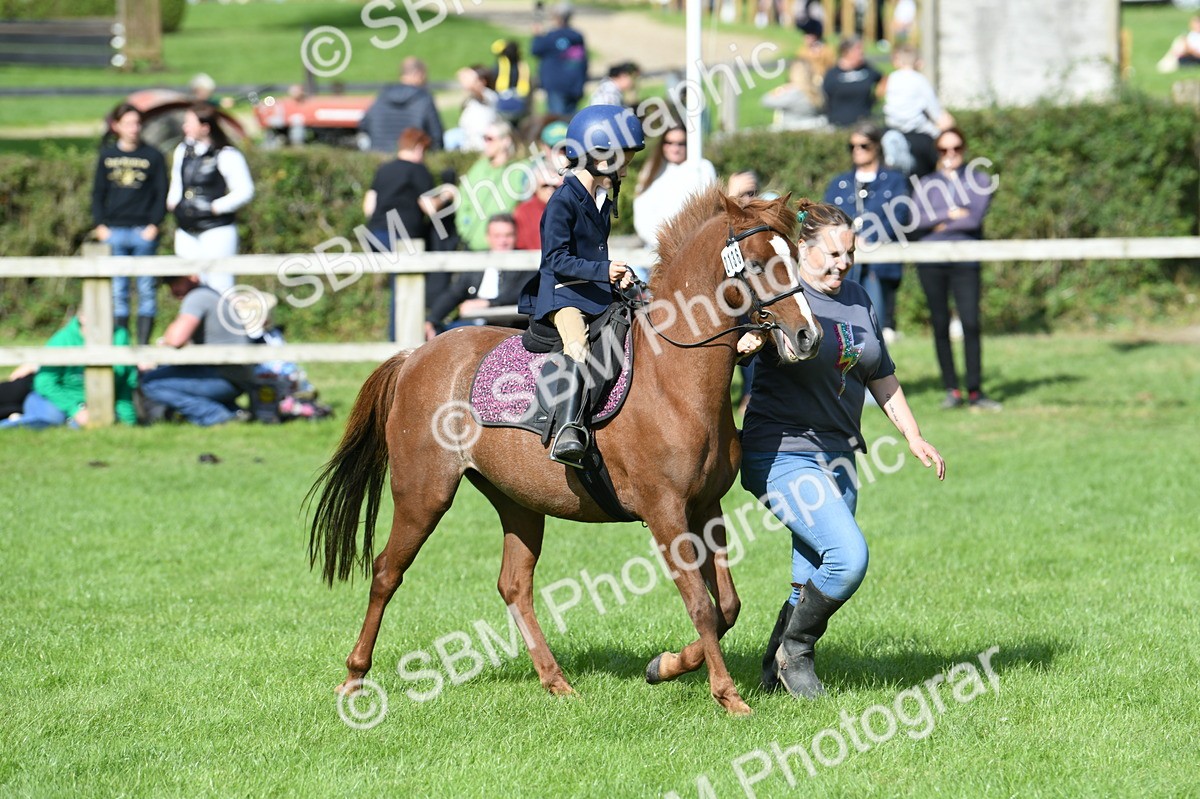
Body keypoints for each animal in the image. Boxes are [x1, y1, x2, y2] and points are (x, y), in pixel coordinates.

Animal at [307, 187, 823, 715]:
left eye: (793, 257)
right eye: (757, 264)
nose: (808, 337)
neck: (676, 375)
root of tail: (416, 355)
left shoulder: (705, 506)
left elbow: (727, 607)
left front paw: (665, 666)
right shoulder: (665, 513)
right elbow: (701, 604)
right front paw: (727, 696)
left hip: (517, 500)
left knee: (514, 585)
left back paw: (555, 680)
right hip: (423, 494)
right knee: (387, 572)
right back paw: (354, 677)